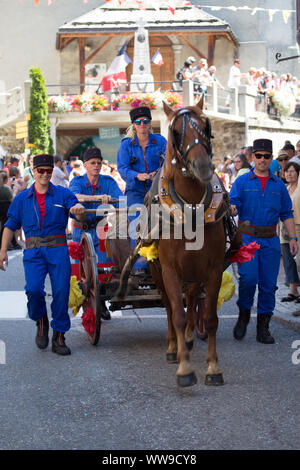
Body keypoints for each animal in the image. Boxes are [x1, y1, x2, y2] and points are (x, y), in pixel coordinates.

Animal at [150, 98, 227, 386]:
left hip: (195, 273)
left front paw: (213, 367)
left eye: (205, 126)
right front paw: (184, 367)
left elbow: (210, 317)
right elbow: (178, 315)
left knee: (193, 298)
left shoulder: (214, 269)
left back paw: (191, 338)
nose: (203, 166)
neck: (192, 207)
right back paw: (173, 346)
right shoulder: (170, 270)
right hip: (157, 272)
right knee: (169, 308)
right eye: (175, 131)